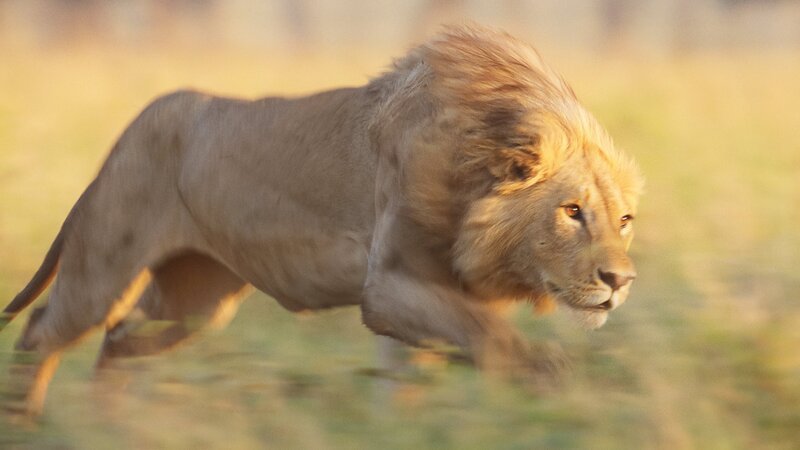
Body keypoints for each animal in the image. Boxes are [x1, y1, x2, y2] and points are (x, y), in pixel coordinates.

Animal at [2, 25, 642, 416]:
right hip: (104, 270)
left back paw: (110, 423)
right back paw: (30, 423)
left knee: (119, 340)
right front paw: (551, 380)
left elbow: (413, 379)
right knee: (41, 330)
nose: (620, 281)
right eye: (572, 211)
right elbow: (492, 337)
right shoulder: (389, 285)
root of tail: (126, 134)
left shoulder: (420, 300)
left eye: (625, 220)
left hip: (196, 302)